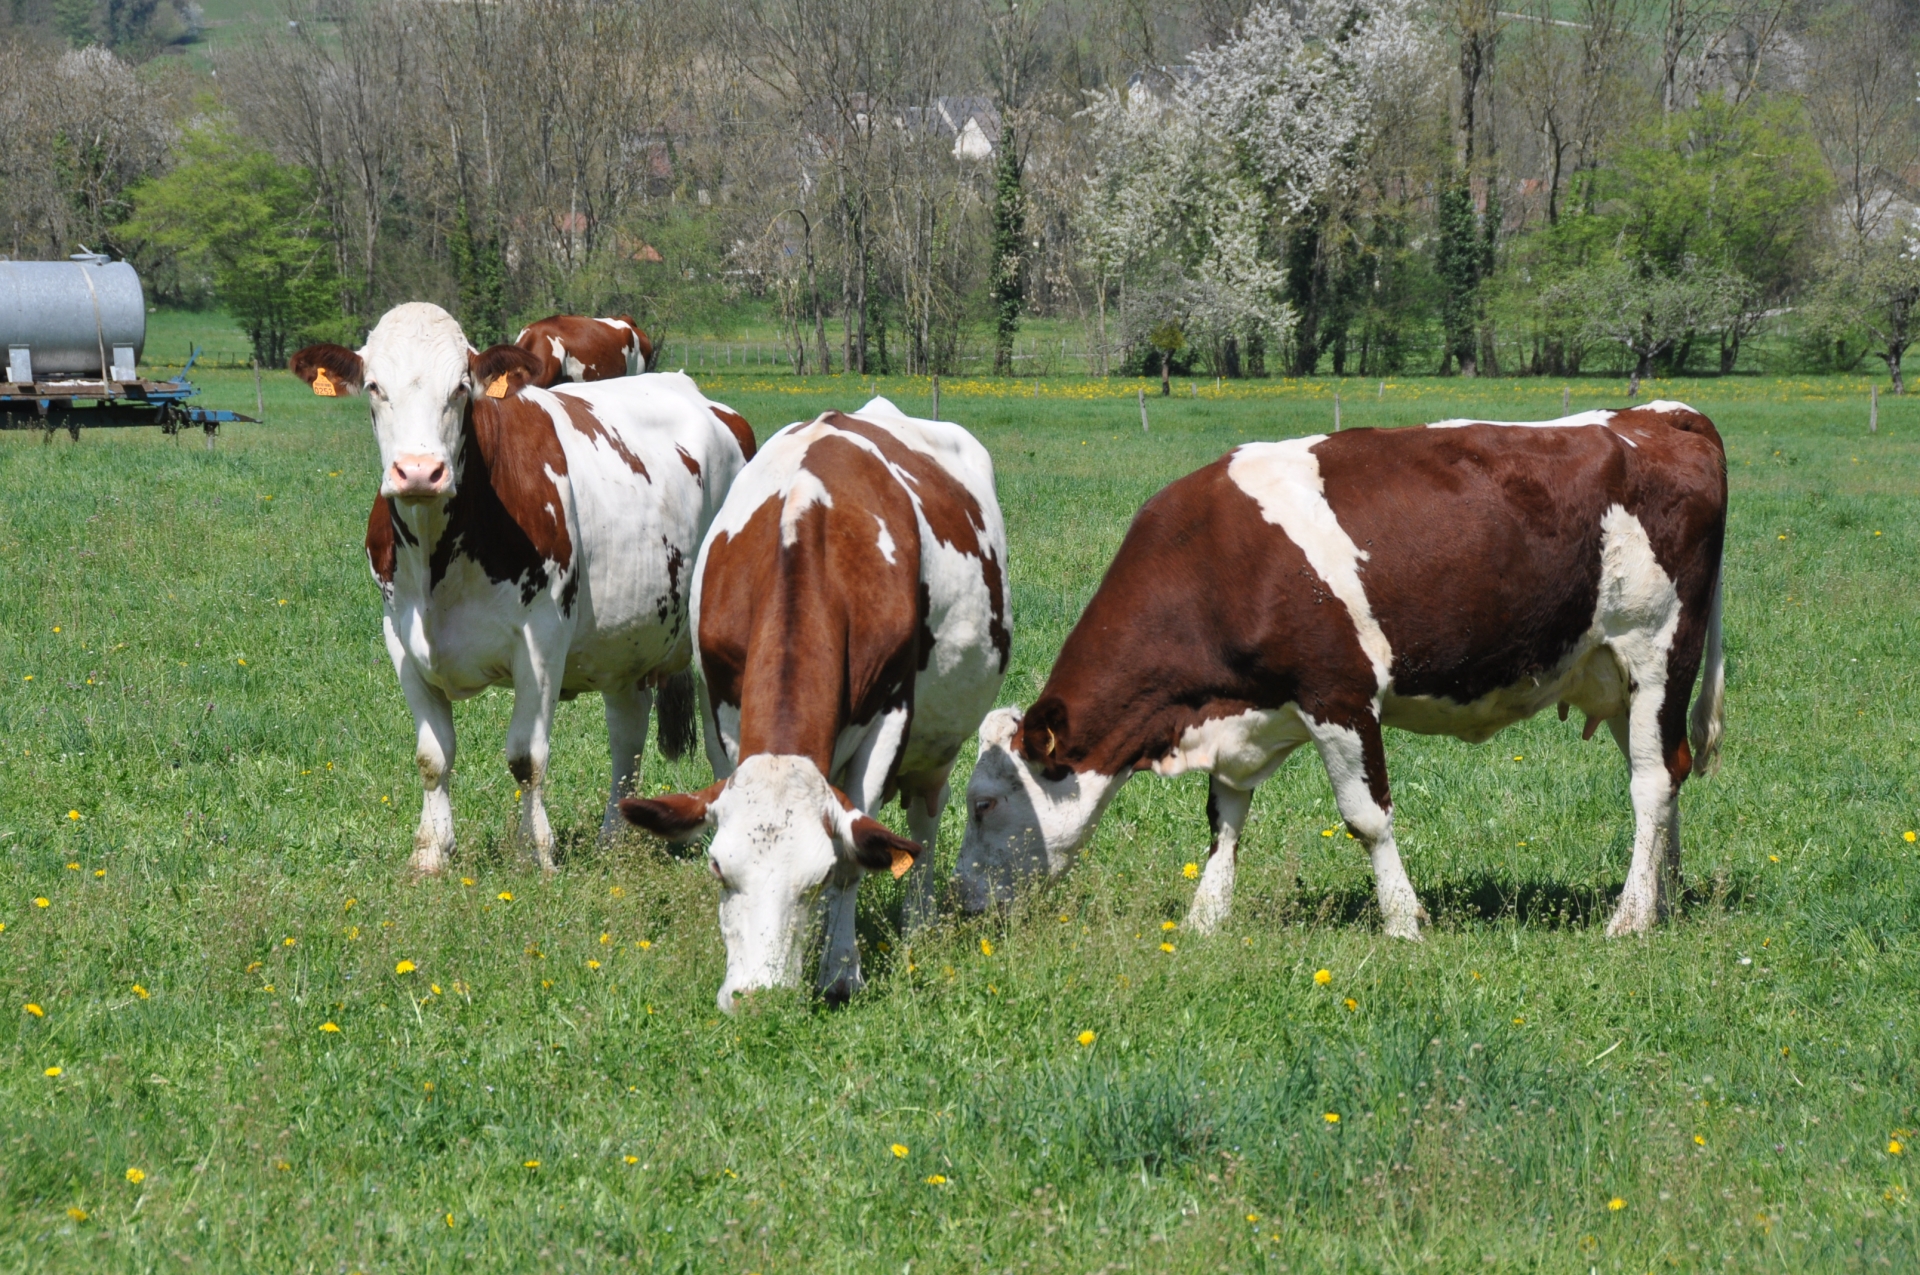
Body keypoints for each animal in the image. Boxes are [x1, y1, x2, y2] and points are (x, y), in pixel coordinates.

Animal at [618, 393, 1013, 1013]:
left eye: (817, 875)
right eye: (717, 867)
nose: (757, 998)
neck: (802, 534)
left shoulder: (889, 719)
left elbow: (859, 850)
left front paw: (841, 972)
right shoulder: (720, 711)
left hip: (937, 748)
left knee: (922, 825)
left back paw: (916, 924)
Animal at [956, 403, 1728, 940]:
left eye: (984, 804)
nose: (960, 901)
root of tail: (1662, 416)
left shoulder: (1339, 694)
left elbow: (1367, 817)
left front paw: (1403, 921)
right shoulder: (1246, 709)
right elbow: (1225, 816)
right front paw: (1206, 917)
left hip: (1660, 651)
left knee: (1652, 783)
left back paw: (1630, 916)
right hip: (1619, 675)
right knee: (1667, 774)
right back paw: (1664, 898)